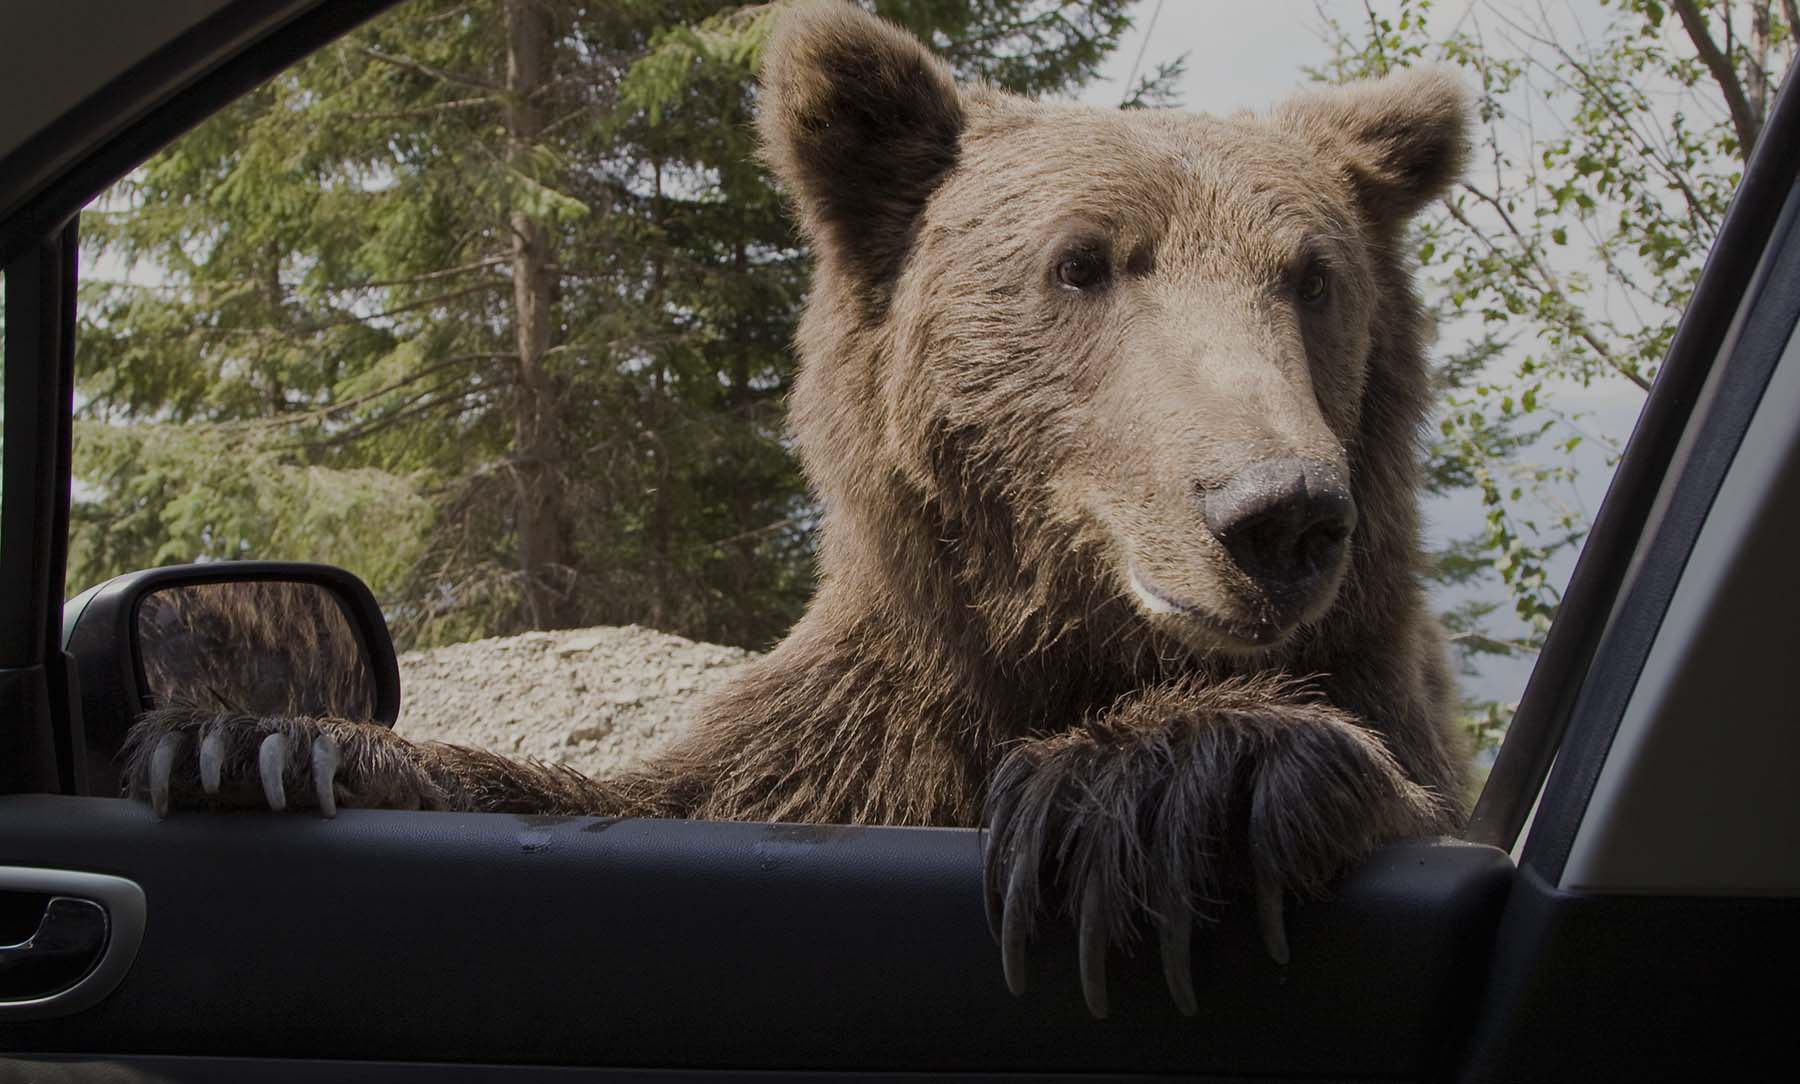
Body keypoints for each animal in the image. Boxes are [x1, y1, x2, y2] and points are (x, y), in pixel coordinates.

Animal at [123, 0, 1476, 1015]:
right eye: (1084, 261)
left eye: (1311, 276)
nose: (1275, 510)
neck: (1063, 647)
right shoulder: (858, 738)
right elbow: (651, 794)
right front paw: (264, 740)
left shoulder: (1377, 692)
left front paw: (1164, 779)